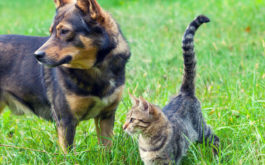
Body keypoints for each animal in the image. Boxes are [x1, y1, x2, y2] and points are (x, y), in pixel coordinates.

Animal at [0, 0, 130, 153]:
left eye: (64, 31)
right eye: (50, 32)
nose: (36, 55)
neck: (94, 69)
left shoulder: (106, 116)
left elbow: (106, 149)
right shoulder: (66, 121)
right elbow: (68, 154)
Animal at [122, 14, 218, 164]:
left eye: (132, 119)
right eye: (127, 119)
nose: (123, 126)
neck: (147, 143)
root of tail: (184, 92)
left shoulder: (168, 161)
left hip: (201, 130)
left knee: (215, 138)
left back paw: (216, 156)